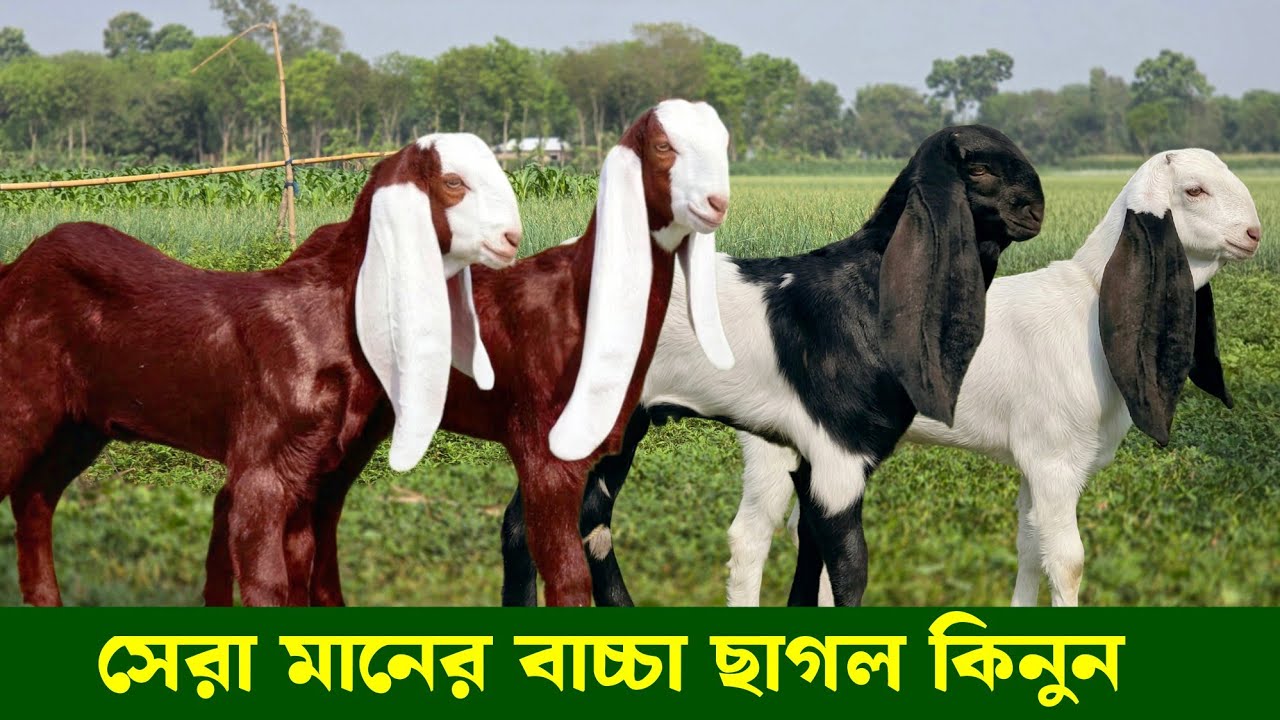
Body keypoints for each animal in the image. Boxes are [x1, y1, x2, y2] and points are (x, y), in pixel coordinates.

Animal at [0, 133, 522, 606]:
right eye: (453, 182)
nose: (512, 238)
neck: (330, 314)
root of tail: (15, 270)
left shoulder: (311, 465)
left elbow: (300, 564)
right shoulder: (262, 464)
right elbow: (266, 579)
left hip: (82, 425)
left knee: (35, 499)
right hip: (22, 401)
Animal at [200, 98, 736, 607]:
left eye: (723, 143)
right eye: (663, 146)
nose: (716, 202)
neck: (575, 298)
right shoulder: (541, 446)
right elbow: (566, 572)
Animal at [499, 125, 1046, 606]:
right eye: (978, 169)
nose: (1035, 209)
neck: (866, 292)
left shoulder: (810, 461)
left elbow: (810, 559)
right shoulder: (839, 456)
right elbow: (850, 569)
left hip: (619, 426)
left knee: (580, 520)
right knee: (536, 525)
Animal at [737, 148, 1261, 606]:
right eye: (1194, 190)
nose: (1254, 233)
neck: (1088, 308)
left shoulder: (1034, 458)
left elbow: (1030, 545)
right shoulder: (1055, 462)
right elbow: (1069, 562)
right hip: (771, 442)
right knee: (751, 535)